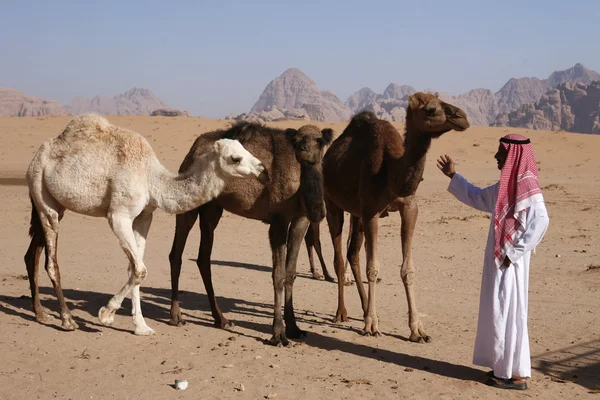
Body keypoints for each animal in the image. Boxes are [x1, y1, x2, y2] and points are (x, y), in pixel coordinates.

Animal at [23, 114, 268, 336]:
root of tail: (37, 155)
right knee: (51, 260)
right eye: (235, 158)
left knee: (35, 250)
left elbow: (135, 267)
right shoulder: (119, 215)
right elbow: (140, 269)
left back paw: (42, 313)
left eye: (246, 150)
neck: (151, 178)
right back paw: (67, 319)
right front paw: (106, 314)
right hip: (42, 193)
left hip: (55, 203)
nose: (263, 170)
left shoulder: (144, 216)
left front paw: (141, 326)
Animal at [168, 120, 332, 346]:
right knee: (176, 254)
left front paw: (295, 329)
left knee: (203, 258)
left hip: (212, 208)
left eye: (320, 141)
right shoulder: (278, 220)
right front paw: (278, 335)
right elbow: (278, 274)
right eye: (298, 142)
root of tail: (193, 151)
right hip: (189, 201)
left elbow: (290, 273)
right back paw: (176, 317)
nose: (306, 153)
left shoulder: (301, 219)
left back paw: (222, 319)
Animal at [322, 93, 472, 340]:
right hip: (332, 204)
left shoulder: (409, 208)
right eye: (431, 109)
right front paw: (372, 326)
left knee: (353, 253)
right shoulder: (371, 212)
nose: (462, 117)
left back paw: (365, 308)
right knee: (339, 257)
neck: (391, 169)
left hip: (356, 213)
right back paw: (341, 313)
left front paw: (418, 330)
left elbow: (407, 269)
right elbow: (373, 267)